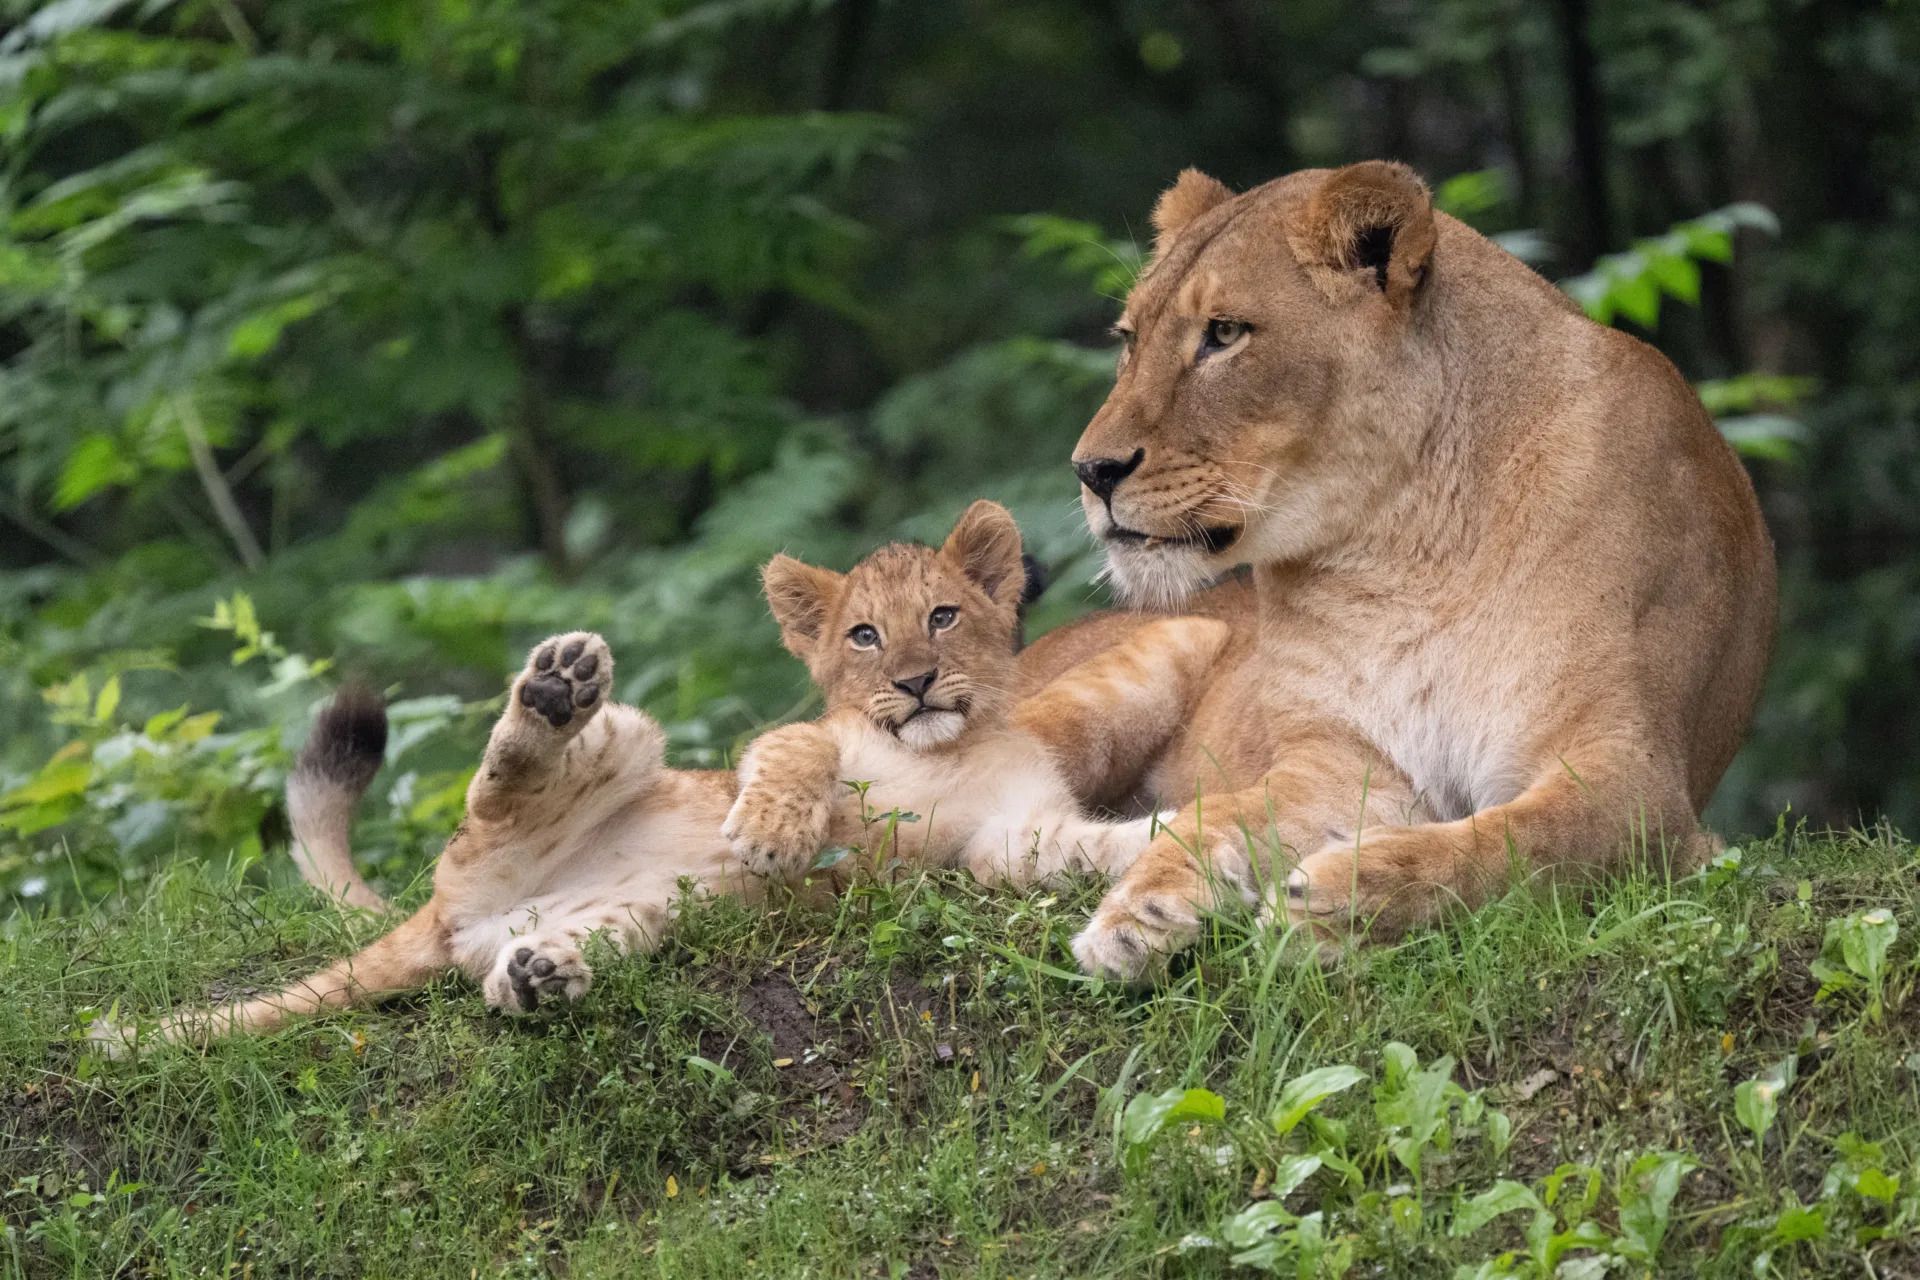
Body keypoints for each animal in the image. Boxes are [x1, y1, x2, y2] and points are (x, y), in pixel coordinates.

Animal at [1010, 160, 1776, 980]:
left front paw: (1338, 902)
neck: (1405, 550)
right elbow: (1226, 815)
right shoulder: (1343, 764)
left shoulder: (1636, 780)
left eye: (1224, 334)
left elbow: (1515, 846)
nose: (1092, 471)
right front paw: (1140, 906)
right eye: (1129, 340)